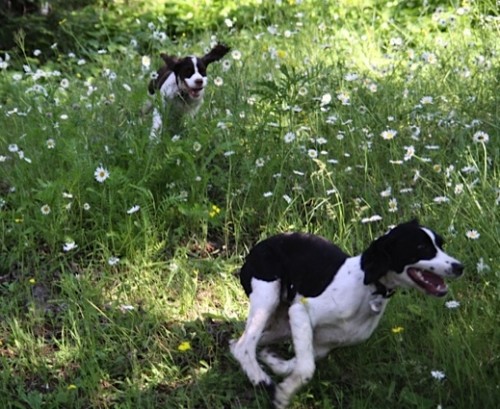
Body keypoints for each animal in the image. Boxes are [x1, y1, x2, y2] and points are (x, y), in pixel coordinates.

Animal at [230, 220, 464, 408]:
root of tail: (257, 247)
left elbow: (297, 364)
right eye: (422, 247)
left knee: (237, 343)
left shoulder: (323, 343)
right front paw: (283, 394)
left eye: (440, 244)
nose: (459, 267)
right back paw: (259, 378)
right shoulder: (300, 311)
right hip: (267, 299)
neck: (369, 289)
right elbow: (306, 368)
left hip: (282, 324)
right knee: (244, 346)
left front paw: (275, 364)